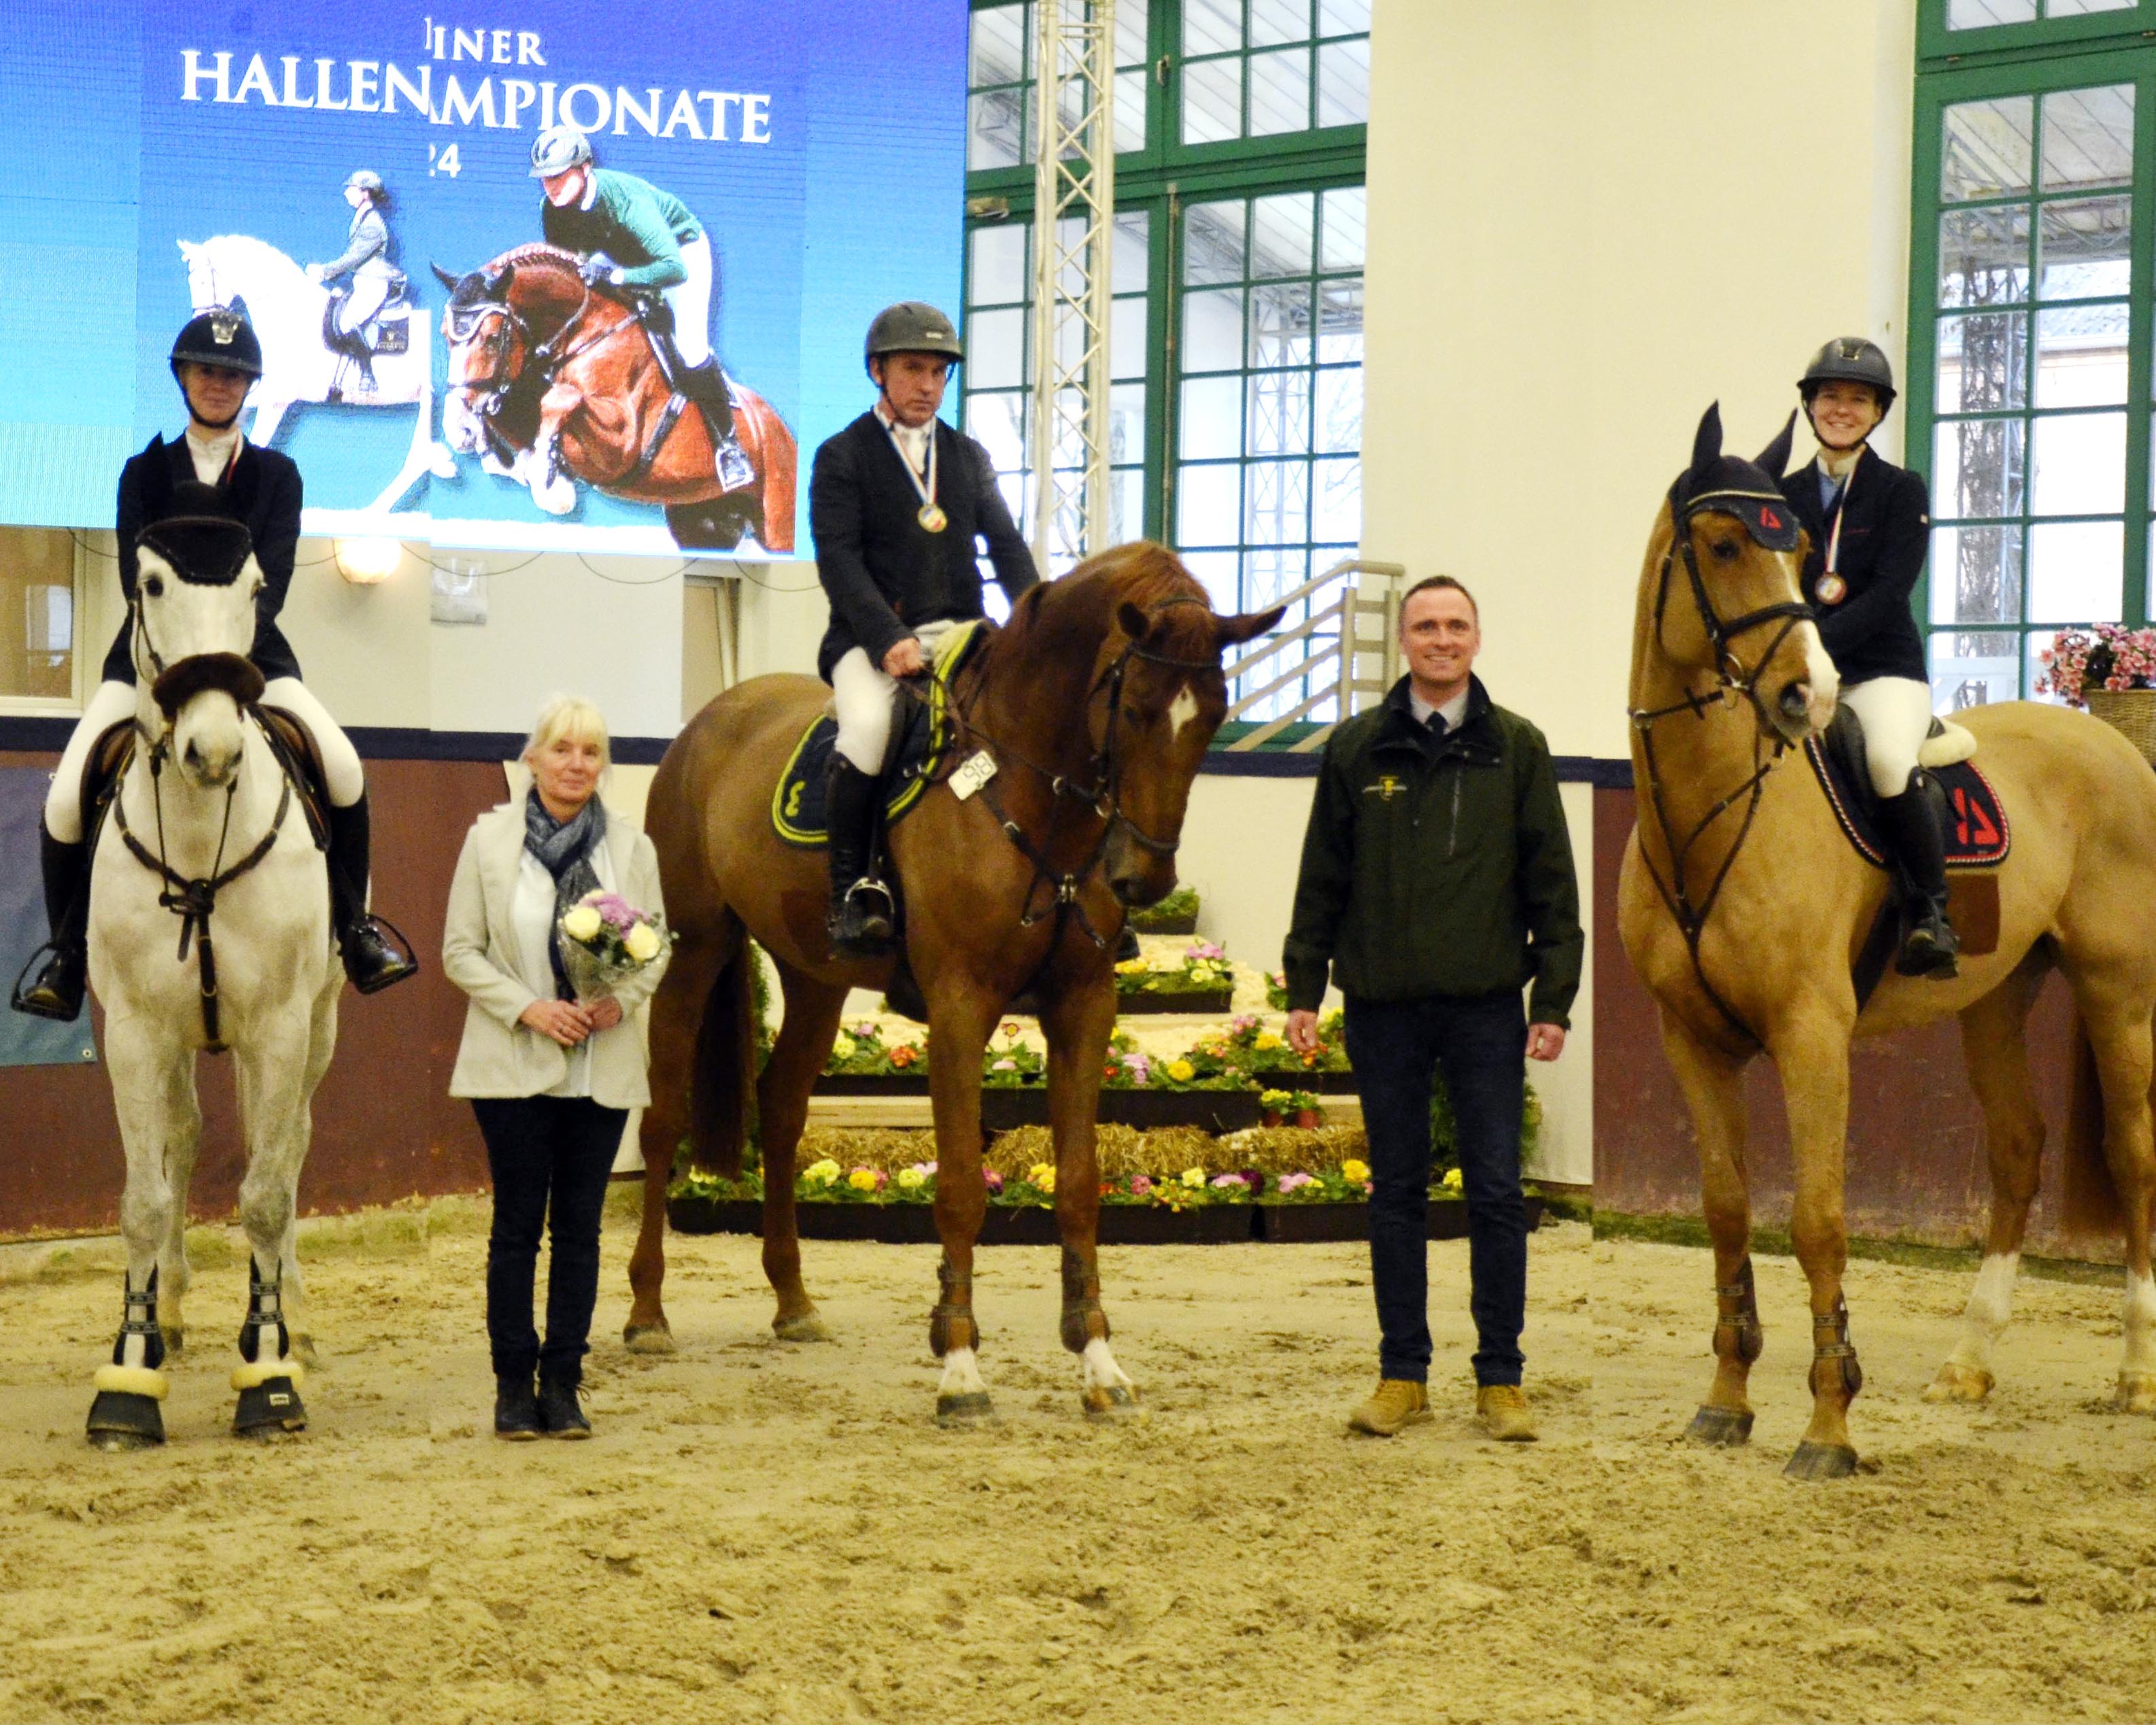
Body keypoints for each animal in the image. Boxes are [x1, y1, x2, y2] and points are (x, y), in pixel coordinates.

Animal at [177, 237, 459, 519]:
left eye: (202, 280)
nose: (199, 322)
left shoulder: (277, 398)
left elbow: (256, 442)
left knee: (418, 457)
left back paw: (371, 513)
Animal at [429, 242, 802, 549]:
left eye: (492, 338)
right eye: (445, 334)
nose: (456, 427)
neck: (585, 333)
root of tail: (781, 429)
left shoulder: (620, 447)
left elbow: (560, 398)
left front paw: (548, 478)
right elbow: (511, 413)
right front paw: (494, 449)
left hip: (778, 522)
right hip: (702, 523)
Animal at [625, 545, 1276, 1423]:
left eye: (1213, 715)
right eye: (1137, 709)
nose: (1144, 877)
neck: (1036, 792)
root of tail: (710, 717)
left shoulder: (1084, 1005)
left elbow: (1079, 1182)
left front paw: (1097, 1358)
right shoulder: (961, 1005)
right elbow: (963, 1185)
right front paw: (961, 1363)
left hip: (816, 975)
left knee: (784, 1111)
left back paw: (794, 1302)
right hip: (695, 950)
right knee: (663, 1118)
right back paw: (647, 1312)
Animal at [1621, 405, 2156, 1483]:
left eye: (1795, 552)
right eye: (1724, 544)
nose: (1806, 696)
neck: (1705, 813)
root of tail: (2111, 742)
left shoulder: (1811, 1035)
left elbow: (1818, 1221)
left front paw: (1828, 1425)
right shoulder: (1689, 1040)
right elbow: (1726, 1211)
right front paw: (1724, 1403)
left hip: (2117, 989)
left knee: (2132, 1156)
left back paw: (2133, 1374)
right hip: (1995, 996)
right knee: (2016, 1151)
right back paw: (1967, 1362)